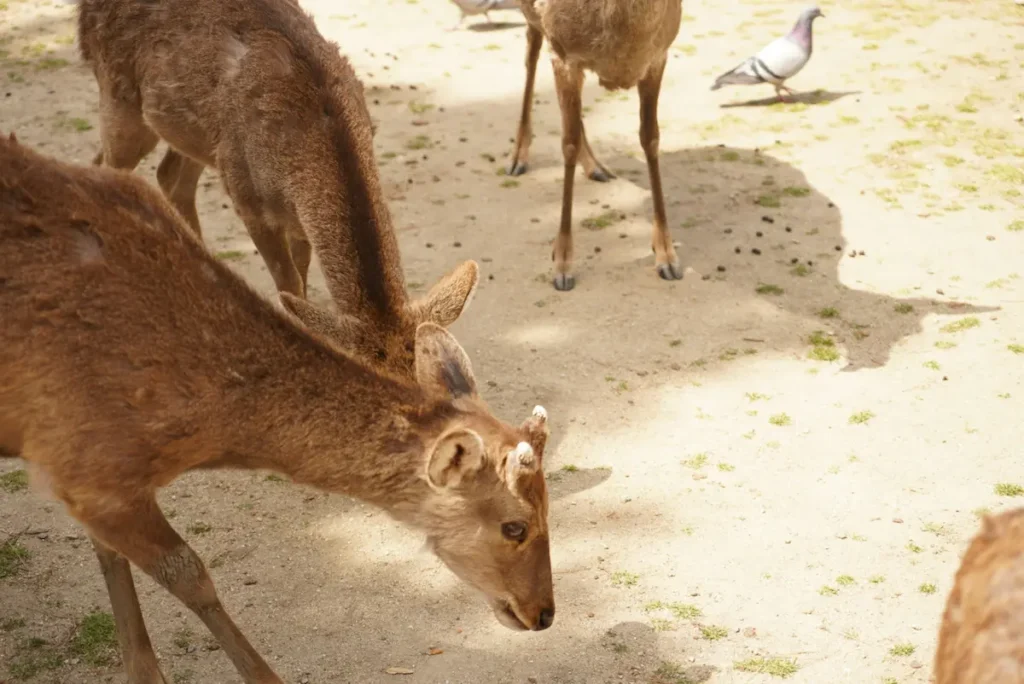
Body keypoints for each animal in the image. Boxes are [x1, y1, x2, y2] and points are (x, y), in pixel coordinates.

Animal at [0, 132, 555, 684]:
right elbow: (189, 573)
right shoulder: (91, 470)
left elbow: (109, 549)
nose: (545, 613)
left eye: (551, 505)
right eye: (515, 526)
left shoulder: (71, 468)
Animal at [77, 0, 478, 379]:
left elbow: (301, 273)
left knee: (164, 175)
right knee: (110, 167)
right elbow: (288, 283)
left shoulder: (299, 219)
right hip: (120, 99)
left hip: (197, 138)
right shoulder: (249, 201)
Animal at [506, 0, 684, 291]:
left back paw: (595, 166)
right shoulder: (565, 56)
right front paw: (562, 264)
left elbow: (650, 138)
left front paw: (667, 257)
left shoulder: (657, 56)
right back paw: (517, 158)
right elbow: (567, 144)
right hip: (534, 21)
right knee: (531, 50)